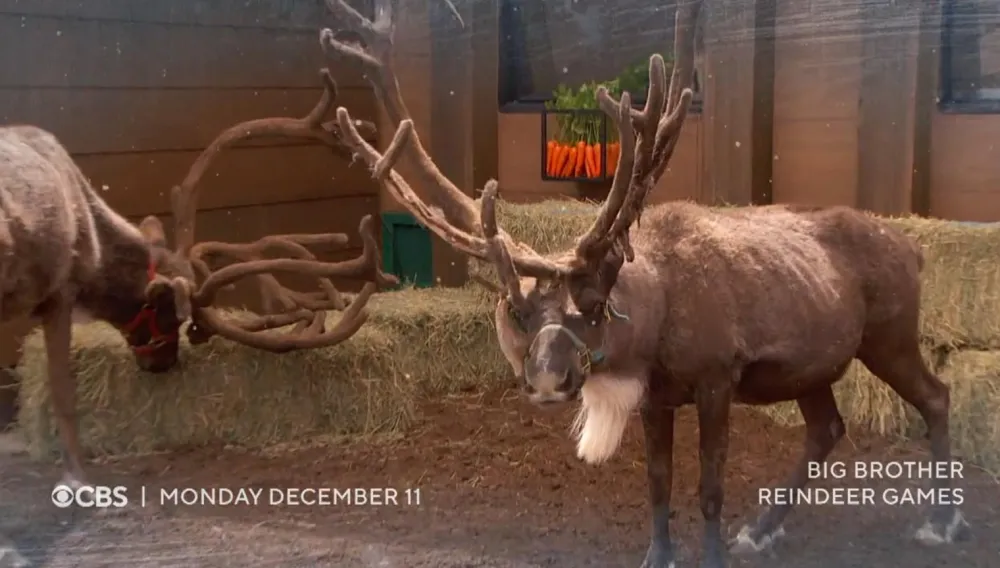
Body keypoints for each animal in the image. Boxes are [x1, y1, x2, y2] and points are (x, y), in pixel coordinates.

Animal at [320, 0, 970, 566]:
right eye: (519, 313)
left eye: (593, 306)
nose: (548, 381)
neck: (654, 327)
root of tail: (913, 246)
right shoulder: (658, 396)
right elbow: (658, 484)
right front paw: (659, 555)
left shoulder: (717, 378)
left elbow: (708, 487)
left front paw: (711, 555)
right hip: (813, 363)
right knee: (826, 429)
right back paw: (761, 532)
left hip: (888, 337)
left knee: (935, 396)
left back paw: (943, 522)